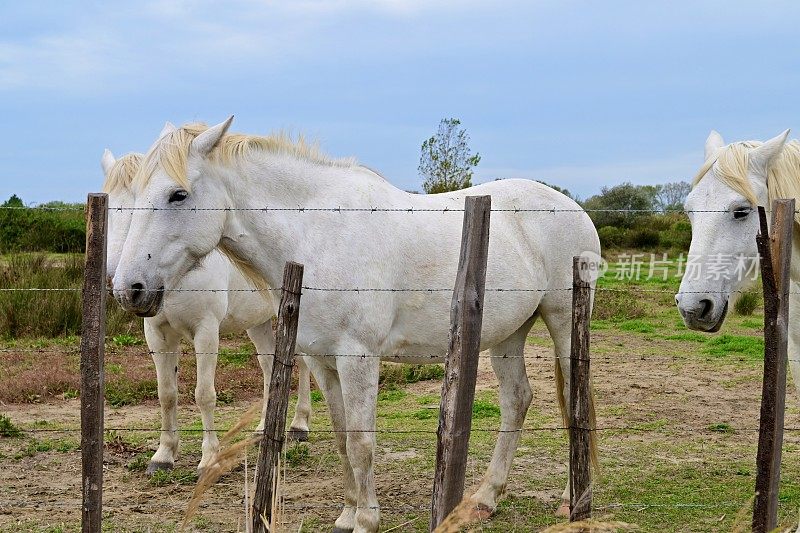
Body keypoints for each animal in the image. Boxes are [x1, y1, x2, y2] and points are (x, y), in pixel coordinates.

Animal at [104, 142, 316, 474]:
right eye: (110, 206)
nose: (124, 285)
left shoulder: (206, 331)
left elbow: (204, 394)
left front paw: (209, 459)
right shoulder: (157, 334)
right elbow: (167, 394)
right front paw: (163, 455)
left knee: (303, 364)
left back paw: (298, 425)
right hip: (258, 323)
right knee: (269, 366)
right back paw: (263, 430)